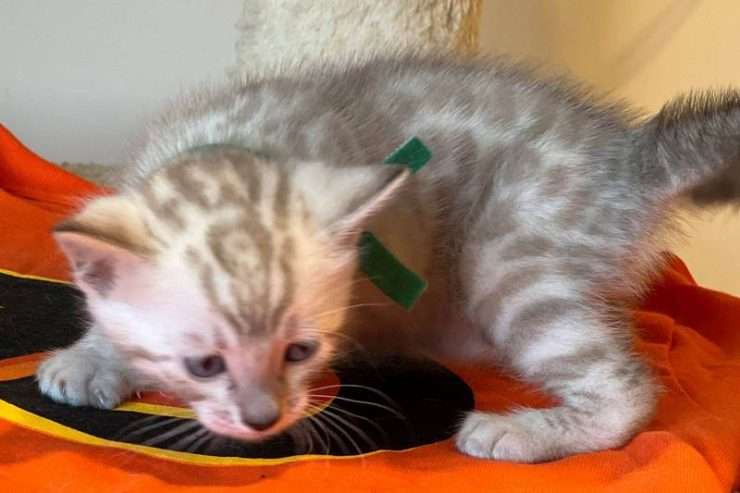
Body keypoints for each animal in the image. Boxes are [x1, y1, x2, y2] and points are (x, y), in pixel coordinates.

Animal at [37, 55, 740, 464]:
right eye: (204, 362)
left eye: (302, 351)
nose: (265, 417)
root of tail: (631, 157)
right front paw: (93, 355)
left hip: (510, 258)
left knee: (626, 387)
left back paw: (522, 433)